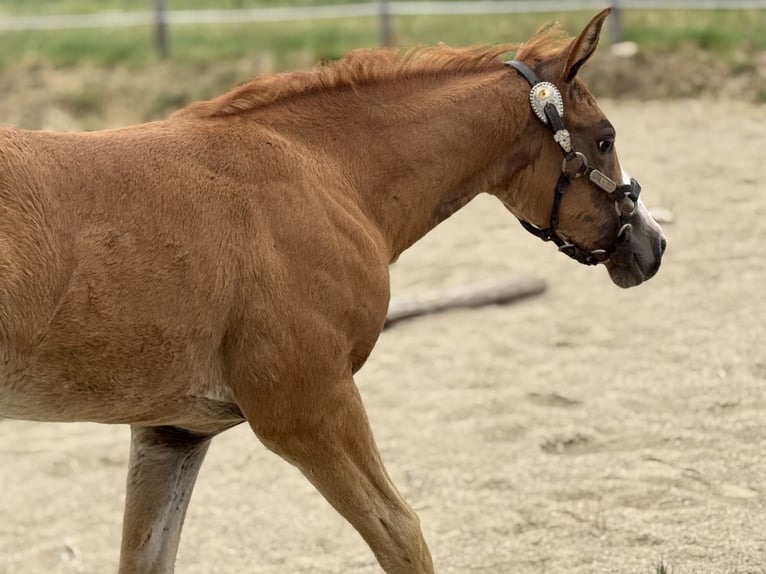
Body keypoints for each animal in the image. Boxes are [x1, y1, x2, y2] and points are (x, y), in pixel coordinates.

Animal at [0, 8, 664, 573]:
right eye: (604, 138)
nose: (651, 246)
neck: (321, 172)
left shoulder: (173, 429)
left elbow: (146, 554)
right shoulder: (308, 405)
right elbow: (402, 534)